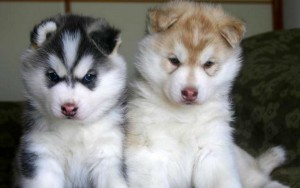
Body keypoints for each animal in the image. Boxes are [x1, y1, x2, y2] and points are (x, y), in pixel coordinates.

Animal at [14, 14, 127, 188]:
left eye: (89, 77)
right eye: (53, 75)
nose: (68, 108)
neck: (74, 132)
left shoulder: (108, 155)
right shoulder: (40, 153)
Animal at [125, 1, 288, 188]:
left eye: (208, 64)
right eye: (174, 61)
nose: (189, 93)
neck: (184, 117)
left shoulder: (213, 151)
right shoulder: (149, 155)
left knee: (258, 178)